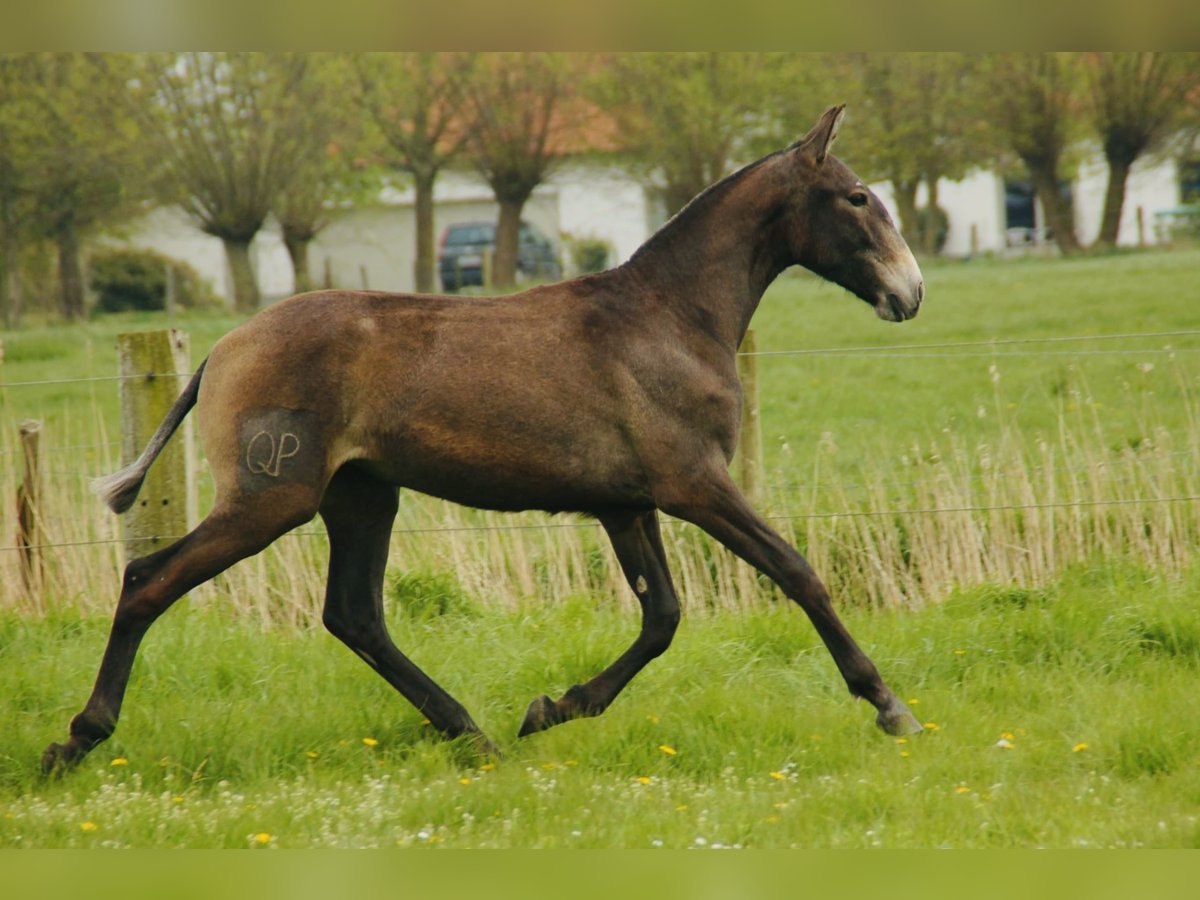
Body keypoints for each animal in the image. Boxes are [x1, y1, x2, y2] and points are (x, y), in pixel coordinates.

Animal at [42, 102, 926, 772]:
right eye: (856, 198)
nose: (910, 294)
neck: (669, 318)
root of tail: (221, 350)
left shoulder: (626, 505)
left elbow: (663, 616)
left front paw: (552, 707)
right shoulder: (694, 485)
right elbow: (796, 572)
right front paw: (889, 706)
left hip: (362, 497)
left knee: (354, 615)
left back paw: (475, 733)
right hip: (272, 498)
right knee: (148, 580)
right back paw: (76, 741)